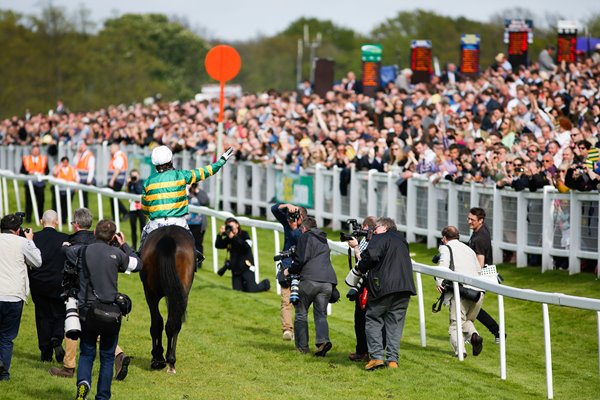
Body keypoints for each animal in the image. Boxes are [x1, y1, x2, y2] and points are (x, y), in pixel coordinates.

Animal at [140, 227, 195, 374]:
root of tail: (168, 238)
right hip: (180, 293)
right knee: (172, 323)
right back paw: (169, 360)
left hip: (151, 293)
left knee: (158, 322)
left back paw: (159, 359)